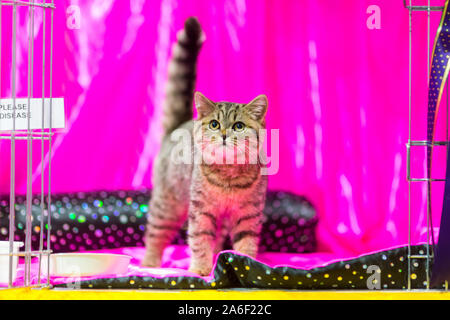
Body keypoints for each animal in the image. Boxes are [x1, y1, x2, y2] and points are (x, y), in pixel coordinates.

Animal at [142, 16, 268, 276]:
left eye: (238, 126)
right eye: (214, 124)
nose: (223, 134)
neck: (229, 176)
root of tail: (178, 125)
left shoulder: (249, 213)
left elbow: (246, 242)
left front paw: (245, 264)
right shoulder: (200, 210)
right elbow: (199, 239)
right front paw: (200, 268)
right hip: (167, 204)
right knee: (155, 233)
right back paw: (149, 262)